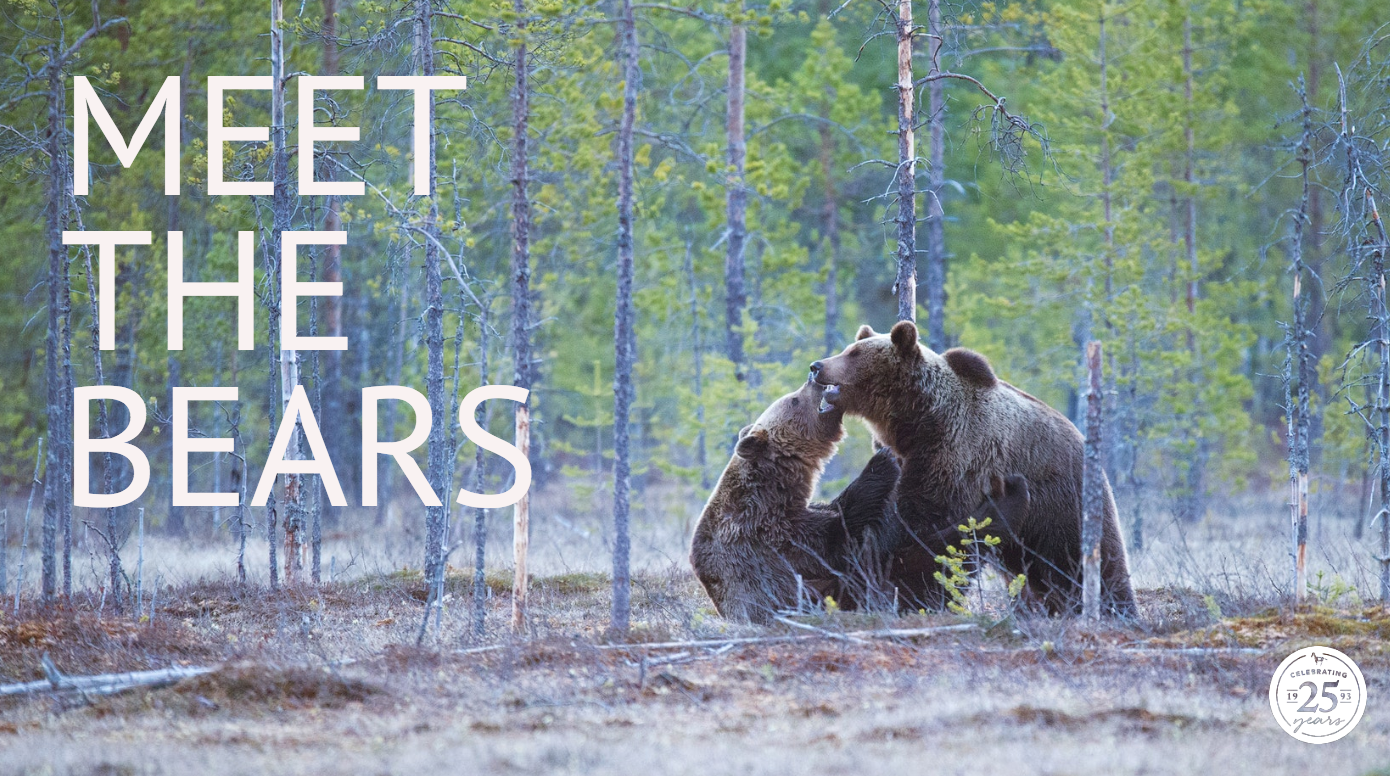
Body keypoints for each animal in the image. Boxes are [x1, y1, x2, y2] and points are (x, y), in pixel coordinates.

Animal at [686, 381, 900, 628]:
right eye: (794, 400)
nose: (812, 379)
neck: (776, 486)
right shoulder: (767, 532)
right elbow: (836, 540)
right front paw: (883, 459)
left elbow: (833, 512)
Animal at [811, 322, 1134, 620]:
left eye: (853, 353)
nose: (817, 366)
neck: (916, 421)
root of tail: (1082, 440)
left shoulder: (955, 455)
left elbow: (923, 527)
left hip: (1060, 504)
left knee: (1088, 559)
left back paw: (1115, 608)